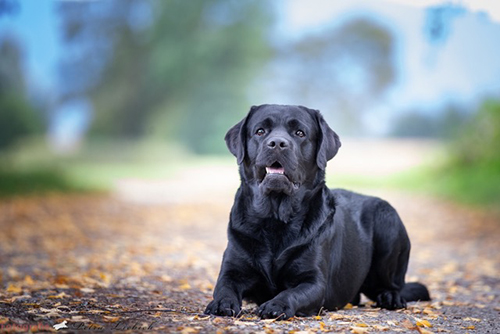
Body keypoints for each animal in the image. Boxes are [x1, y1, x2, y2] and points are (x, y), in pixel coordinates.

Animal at [204, 105, 430, 320]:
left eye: (299, 133)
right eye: (260, 131)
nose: (277, 143)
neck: (275, 219)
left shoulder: (314, 281)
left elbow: (291, 293)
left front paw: (276, 305)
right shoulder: (232, 271)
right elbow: (223, 288)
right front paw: (221, 304)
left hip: (388, 221)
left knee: (393, 284)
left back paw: (391, 297)